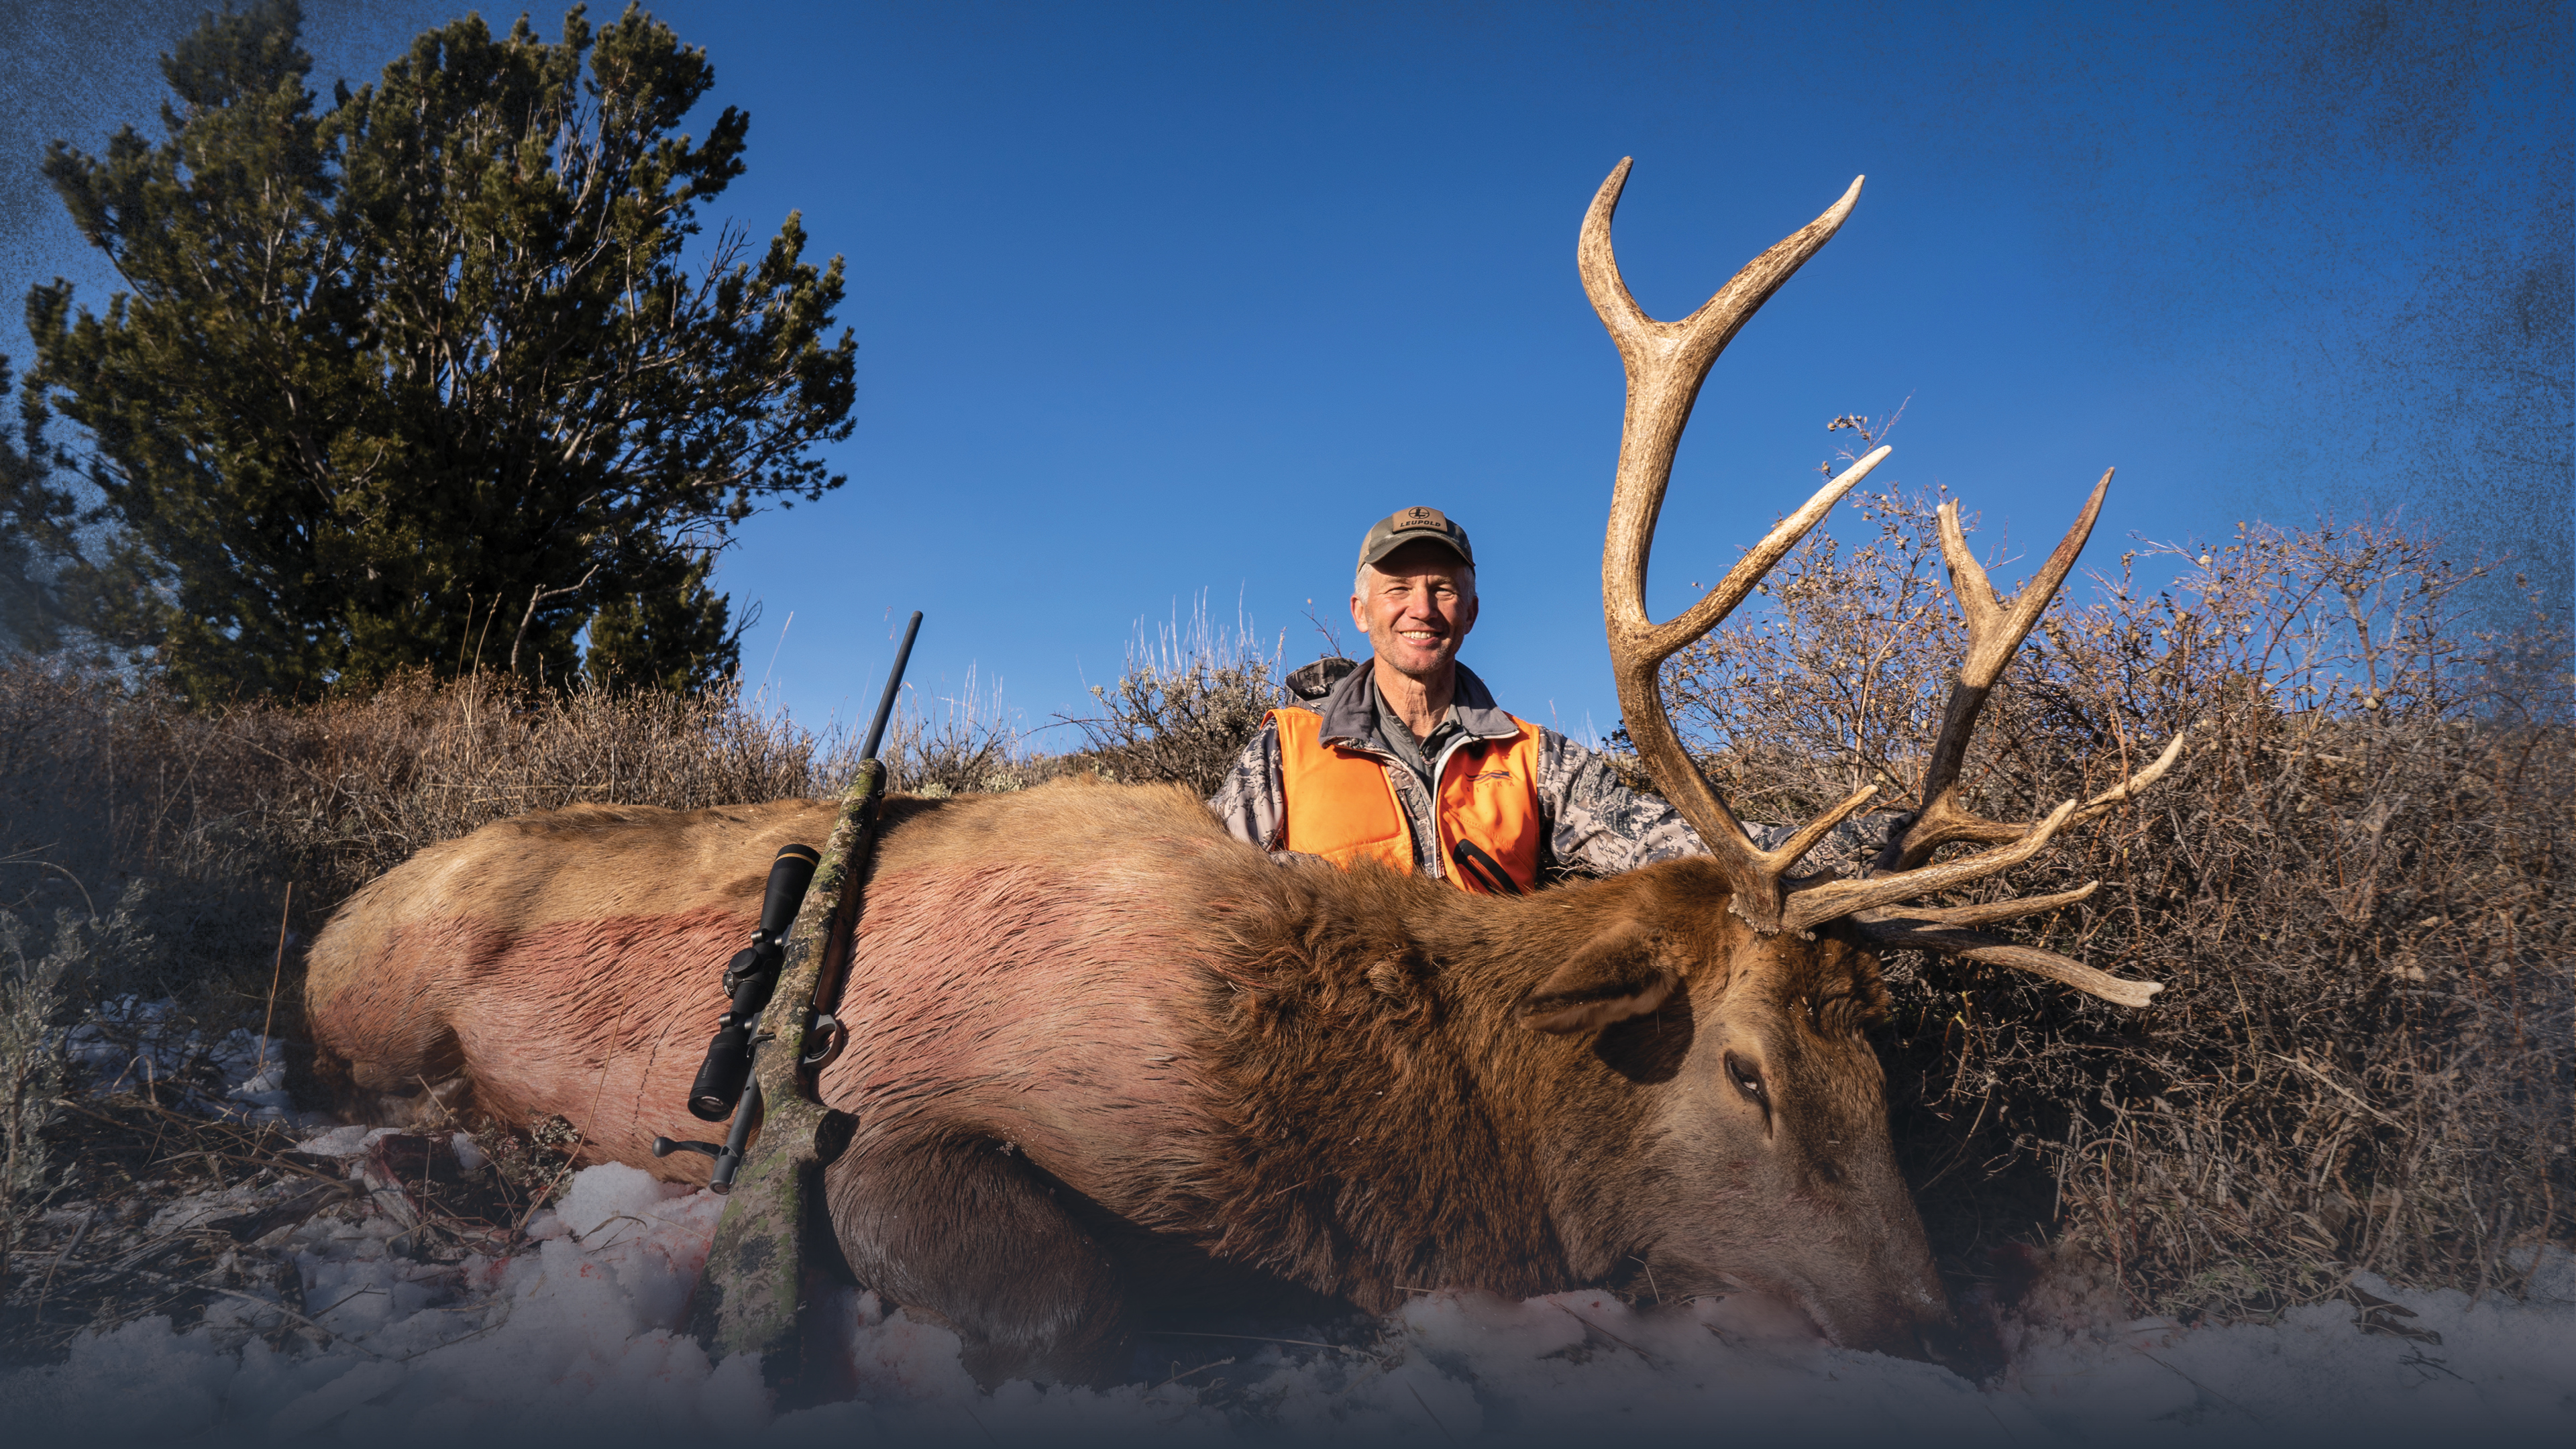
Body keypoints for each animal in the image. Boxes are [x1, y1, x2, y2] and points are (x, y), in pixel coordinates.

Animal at [303, 159, 2180, 1386]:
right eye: (1742, 1071)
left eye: (1885, 1070)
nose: (1935, 1336)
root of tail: (334, 914)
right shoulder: (900, 1108)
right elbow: (1073, 1307)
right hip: (375, 1006)